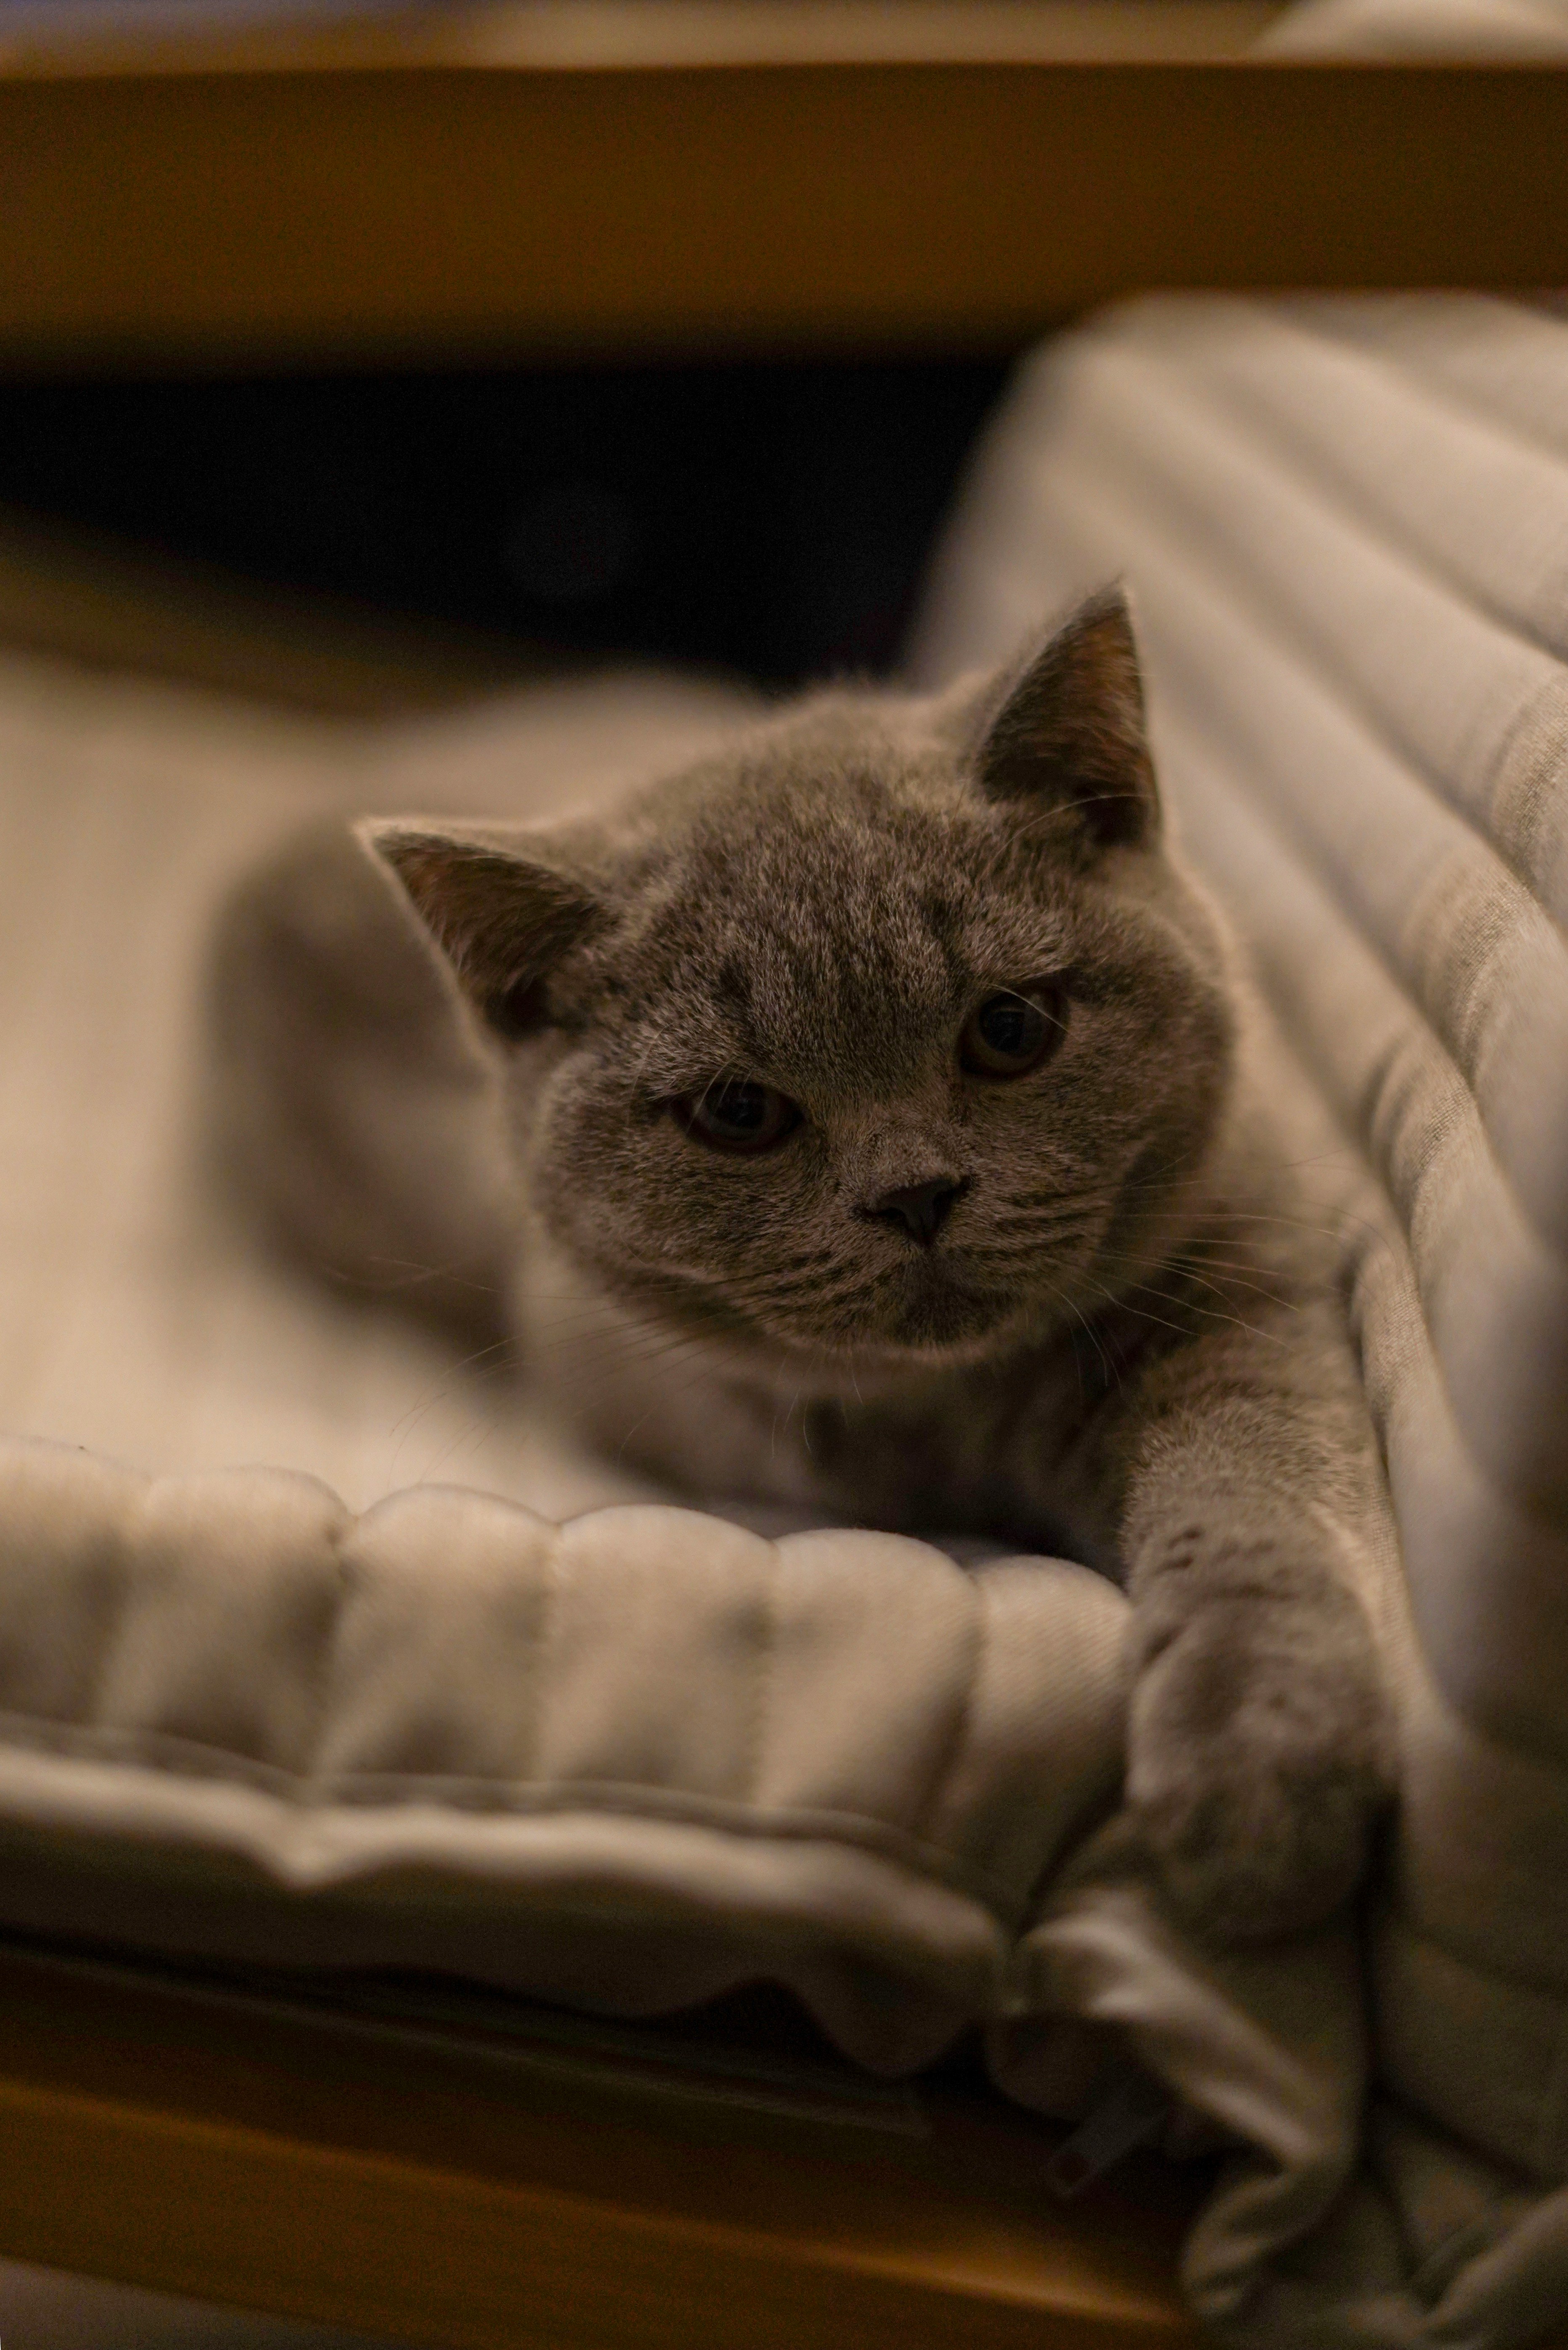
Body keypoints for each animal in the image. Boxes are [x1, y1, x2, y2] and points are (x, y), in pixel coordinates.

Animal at [211, 592, 1401, 1946]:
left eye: (1010, 1029)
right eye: (739, 1111)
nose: (914, 1193)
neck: (978, 1408)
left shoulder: (1246, 1278)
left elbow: (1255, 1489)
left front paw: (1263, 1782)